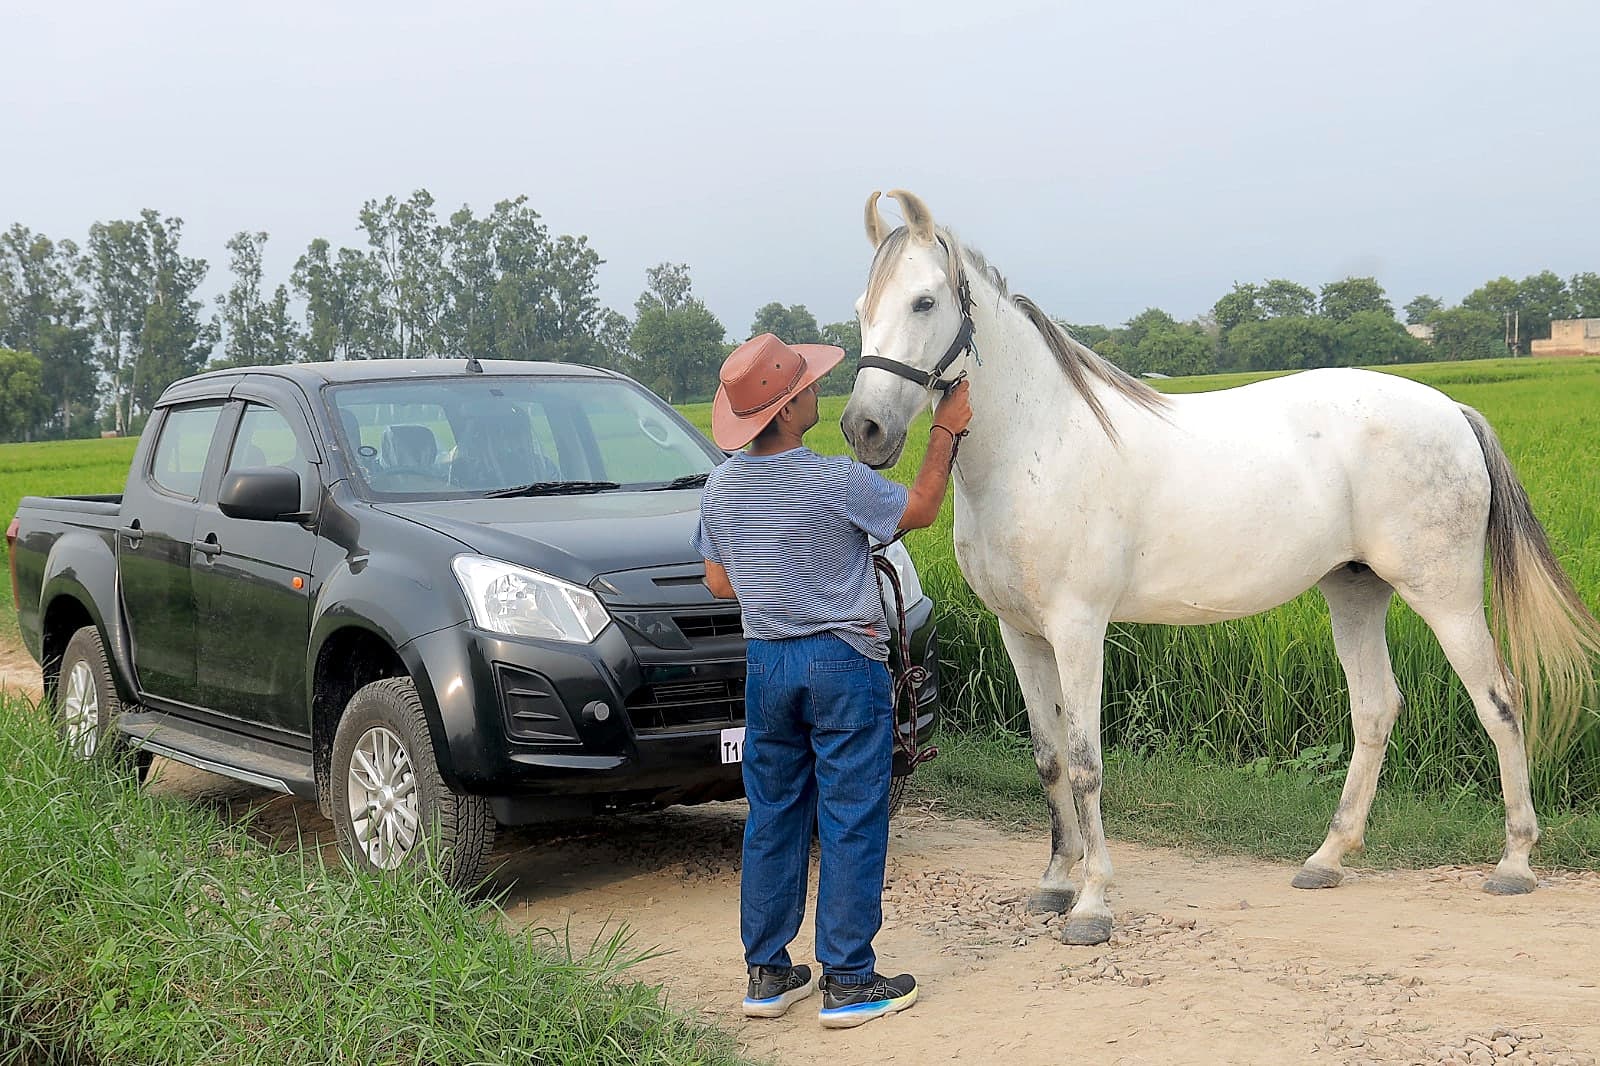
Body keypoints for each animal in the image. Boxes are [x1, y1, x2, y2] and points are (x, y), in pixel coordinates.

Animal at [842, 189, 1600, 947]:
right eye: (861, 309)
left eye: (924, 301)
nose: (863, 429)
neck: (1037, 443)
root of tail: (1452, 410)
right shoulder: (1020, 633)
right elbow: (1049, 758)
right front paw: (1055, 882)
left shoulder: (1077, 629)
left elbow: (1085, 762)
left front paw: (1092, 903)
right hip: (1355, 592)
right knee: (1376, 708)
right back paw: (1327, 858)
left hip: (1444, 596)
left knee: (1500, 701)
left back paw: (1514, 861)